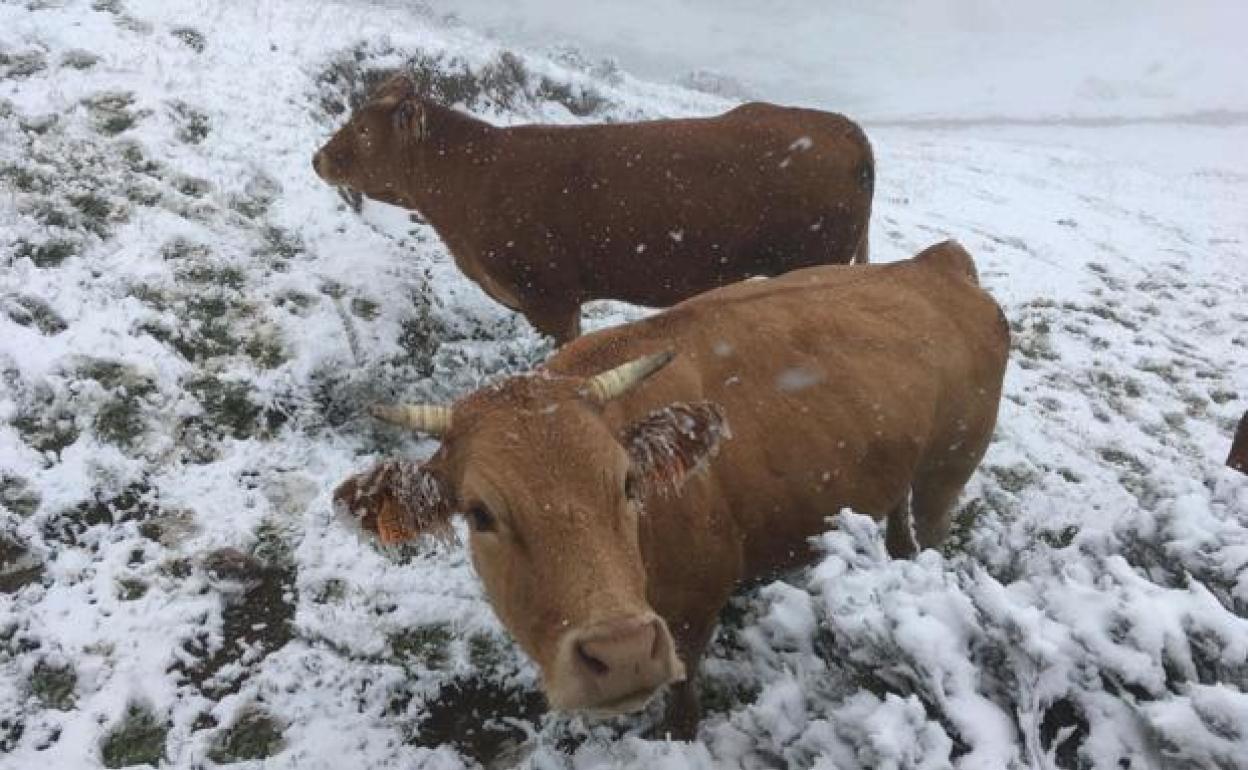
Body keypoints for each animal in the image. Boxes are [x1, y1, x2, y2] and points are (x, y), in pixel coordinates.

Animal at [334, 238, 1013, 733]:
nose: (621, 653)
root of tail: (935, 264)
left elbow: (685, 686)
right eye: (480, 513)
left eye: (628, 484)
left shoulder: (696, 605)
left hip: (949, 470)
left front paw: (677, 732)